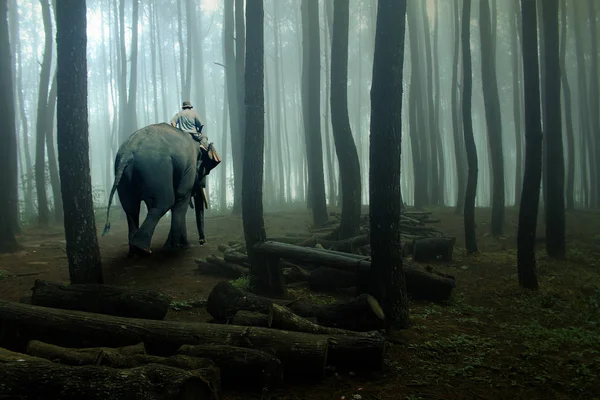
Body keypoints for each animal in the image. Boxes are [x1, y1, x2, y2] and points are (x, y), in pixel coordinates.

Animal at [102, 122, 219, 256]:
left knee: (131, 209)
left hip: (124, 178)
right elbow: (181, 197)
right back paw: (143, 248)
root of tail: (127, 154)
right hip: (156, 169)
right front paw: (174, 248)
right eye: (206, 170)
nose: (202, 241)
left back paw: (134, 253)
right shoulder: (189, 167)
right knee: (164, 203)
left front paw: (184, 246)